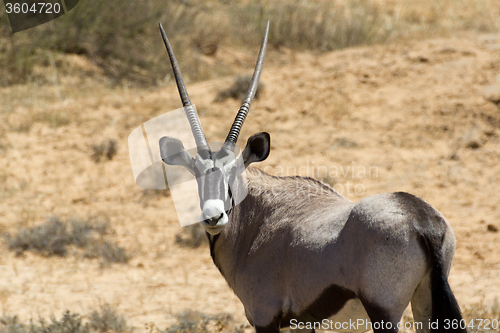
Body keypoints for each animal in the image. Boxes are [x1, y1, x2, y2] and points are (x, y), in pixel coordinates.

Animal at [158, 22, 466, 330]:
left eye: (233, 174)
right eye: (196, 175)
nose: (213, 217)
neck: (257, 219)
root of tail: (421, 219)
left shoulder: (266, 317)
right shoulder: (300, 324)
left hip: (384, 311)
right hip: (424, 303)